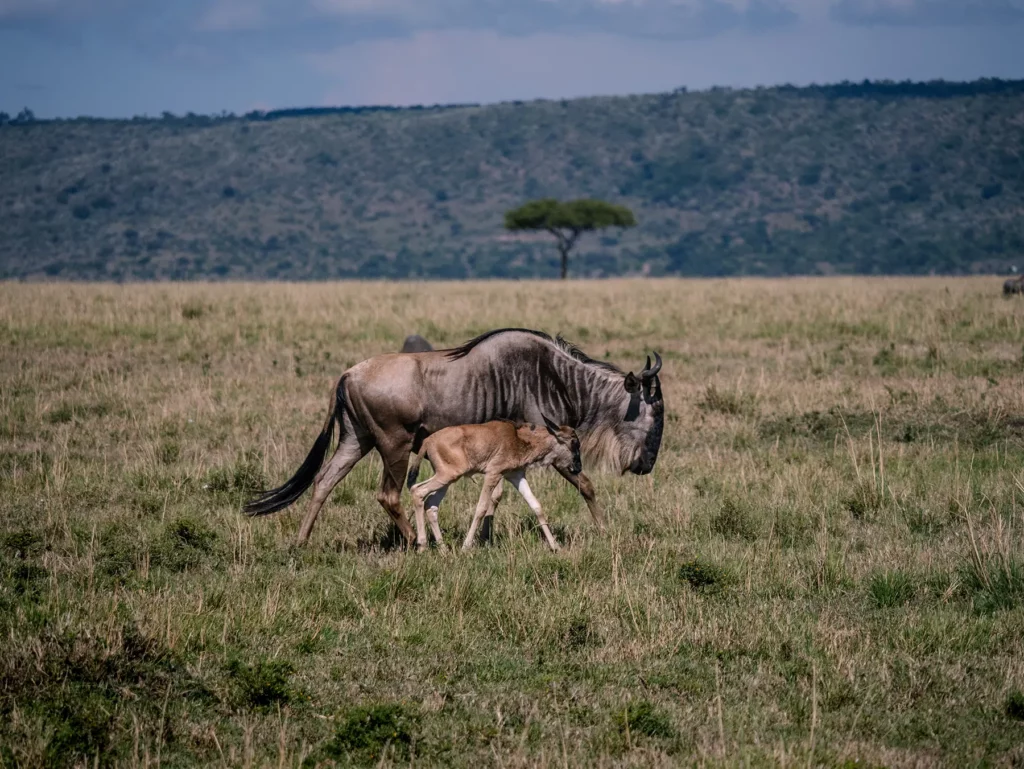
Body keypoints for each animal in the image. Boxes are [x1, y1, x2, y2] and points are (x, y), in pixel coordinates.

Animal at [406, 418, 582, 552]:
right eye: (573, 442)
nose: (578, 467)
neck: (518, 438)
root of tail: (428, 441)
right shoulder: (493, 473)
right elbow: (481, 508)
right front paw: (466, 547)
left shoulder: (515, 475)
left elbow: (536, 506)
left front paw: (555, 546)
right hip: (447, 475)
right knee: (417, 491)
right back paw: (422, 546)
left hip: (447, 479)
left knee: (431, 504)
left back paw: (443, 550)